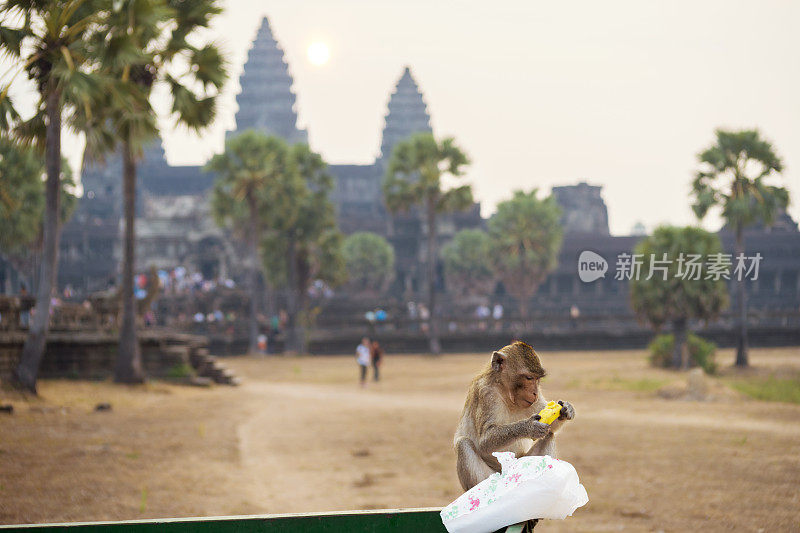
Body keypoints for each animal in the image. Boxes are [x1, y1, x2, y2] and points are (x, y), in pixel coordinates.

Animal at [454, 340, 572, 490]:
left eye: (537, 379)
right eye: (529, 378)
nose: (534, 393)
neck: (506, 392)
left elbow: (552, 425)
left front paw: (566, 410)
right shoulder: (486, 393)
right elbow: (485, 441)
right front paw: (529, 427)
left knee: (549, 435)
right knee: (463, 443)